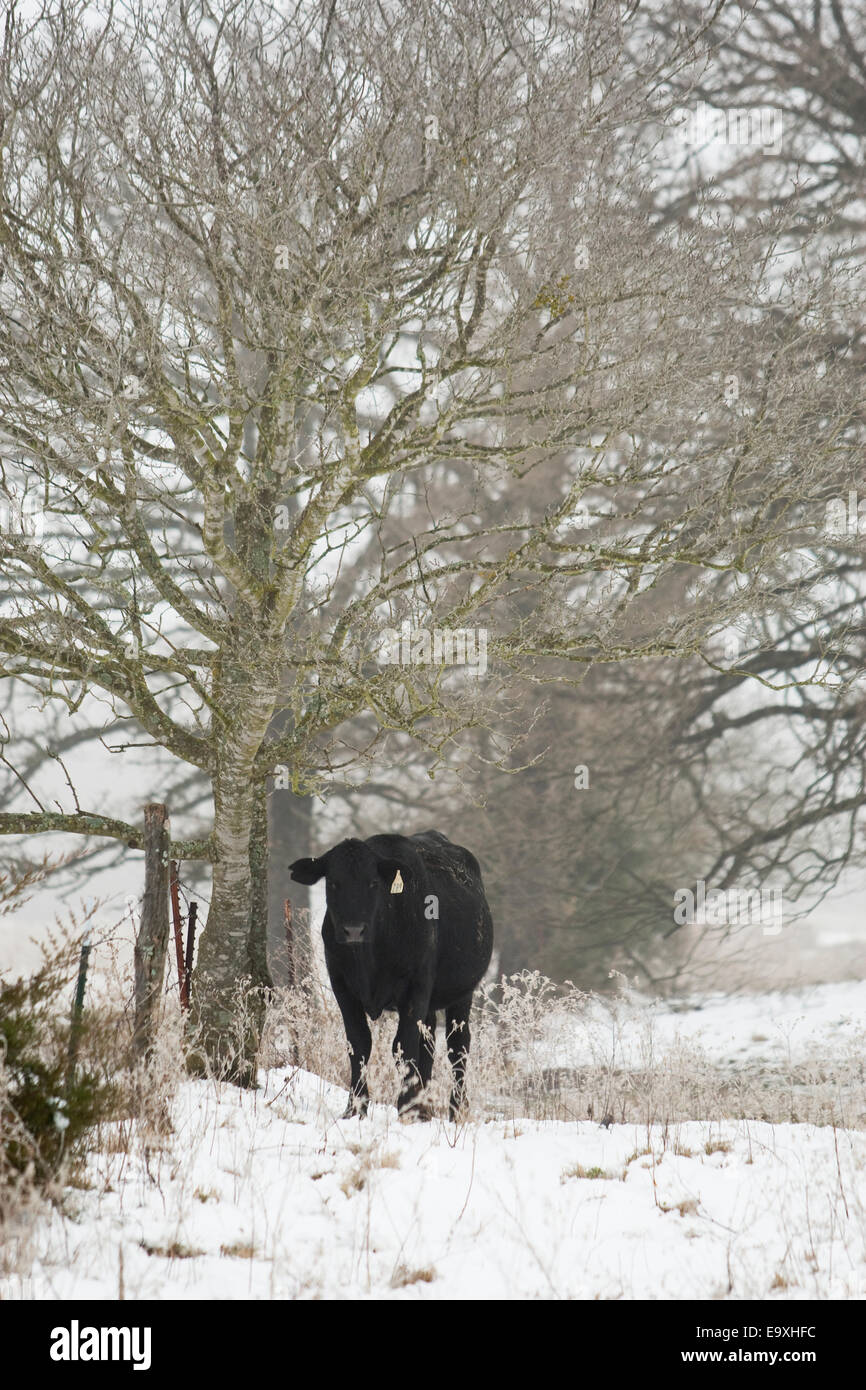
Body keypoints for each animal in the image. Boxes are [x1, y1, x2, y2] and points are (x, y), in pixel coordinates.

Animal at [291, 834, 494, 1117]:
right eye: (333, 882)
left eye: (373, 883)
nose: (354, 930)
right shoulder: (342, 986)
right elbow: (359, 1043)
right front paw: (355, 1108)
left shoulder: (414, 988)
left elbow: (404, 1047)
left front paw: (405, 1107)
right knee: (428, 1044)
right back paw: (424, 1106)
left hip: (462, 994)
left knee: (458, 1047)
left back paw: (455, 1110)